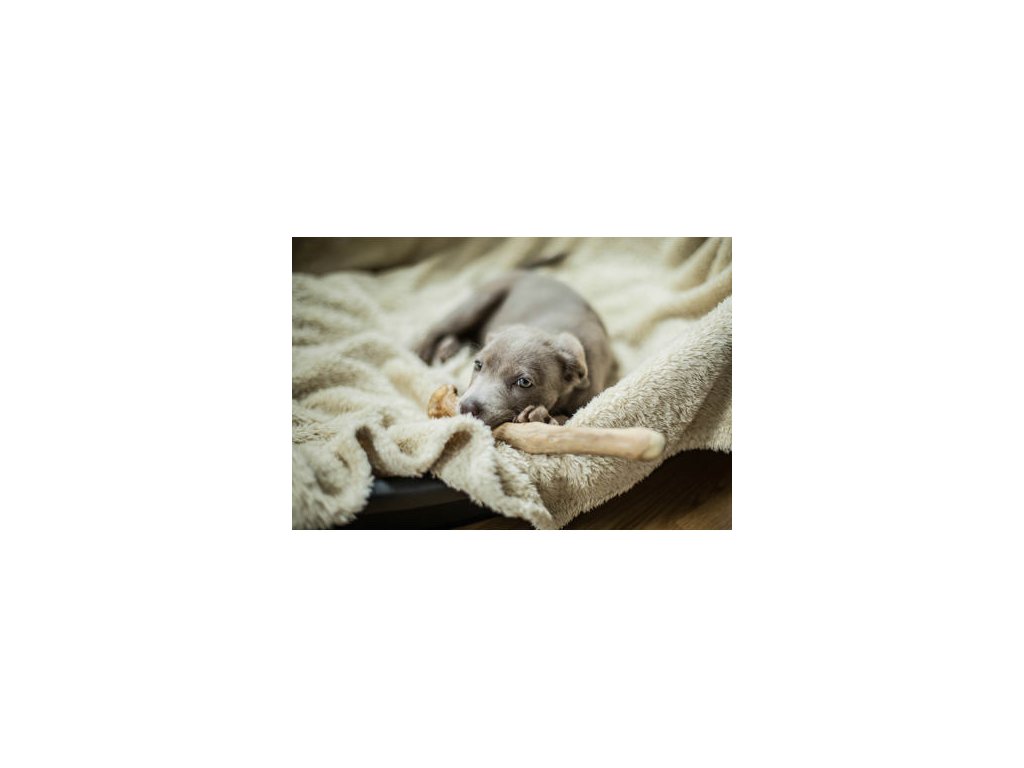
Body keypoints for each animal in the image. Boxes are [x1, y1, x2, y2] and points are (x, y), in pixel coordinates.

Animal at [415, 271, 614, 427]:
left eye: (524, 382)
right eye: (478, 365)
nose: (466, 407)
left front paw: (541, 417)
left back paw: (447, 348)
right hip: (477, 302)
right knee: (435, 331)